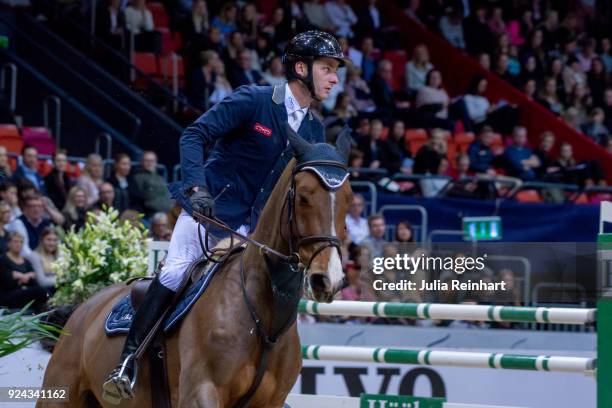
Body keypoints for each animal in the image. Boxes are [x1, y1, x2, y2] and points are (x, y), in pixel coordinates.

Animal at [38, 132, 352, 406]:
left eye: (348, 199)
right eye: (304, 197)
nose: (328, 279)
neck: (265, 318)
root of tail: (85, 307)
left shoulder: (269, 402)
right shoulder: (201, 391)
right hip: (58, 395)